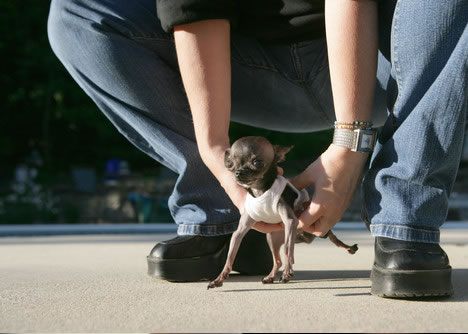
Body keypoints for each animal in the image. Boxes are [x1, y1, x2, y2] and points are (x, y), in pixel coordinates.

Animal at [207, 136, 356, 290]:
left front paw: (287, 273)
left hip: (296, 229)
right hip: (272, 237)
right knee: (278, 260)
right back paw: (270, 276)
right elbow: (230, 257)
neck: (260, 191)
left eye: (257, 162)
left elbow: (287, 250)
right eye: (231, 163)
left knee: (305, 241)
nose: (238, 172)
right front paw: (219, 279)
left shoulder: (290, 221)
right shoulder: (240, 231)